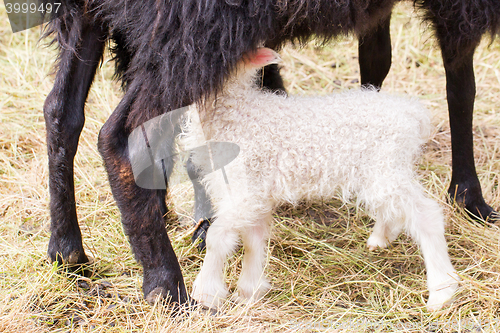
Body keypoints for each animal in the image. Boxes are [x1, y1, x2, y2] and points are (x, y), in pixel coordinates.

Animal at [186, 47, 458, 312]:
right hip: (384, 170)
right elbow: (253, 238)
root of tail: (412, 112)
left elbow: (217, 237)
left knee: (427, 216)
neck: (236, 111)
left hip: (385, 167)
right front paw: (250, 291)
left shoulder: (246, 191)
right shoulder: (252, 192)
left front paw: (206, 294)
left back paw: (442, 292)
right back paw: (380, 238)